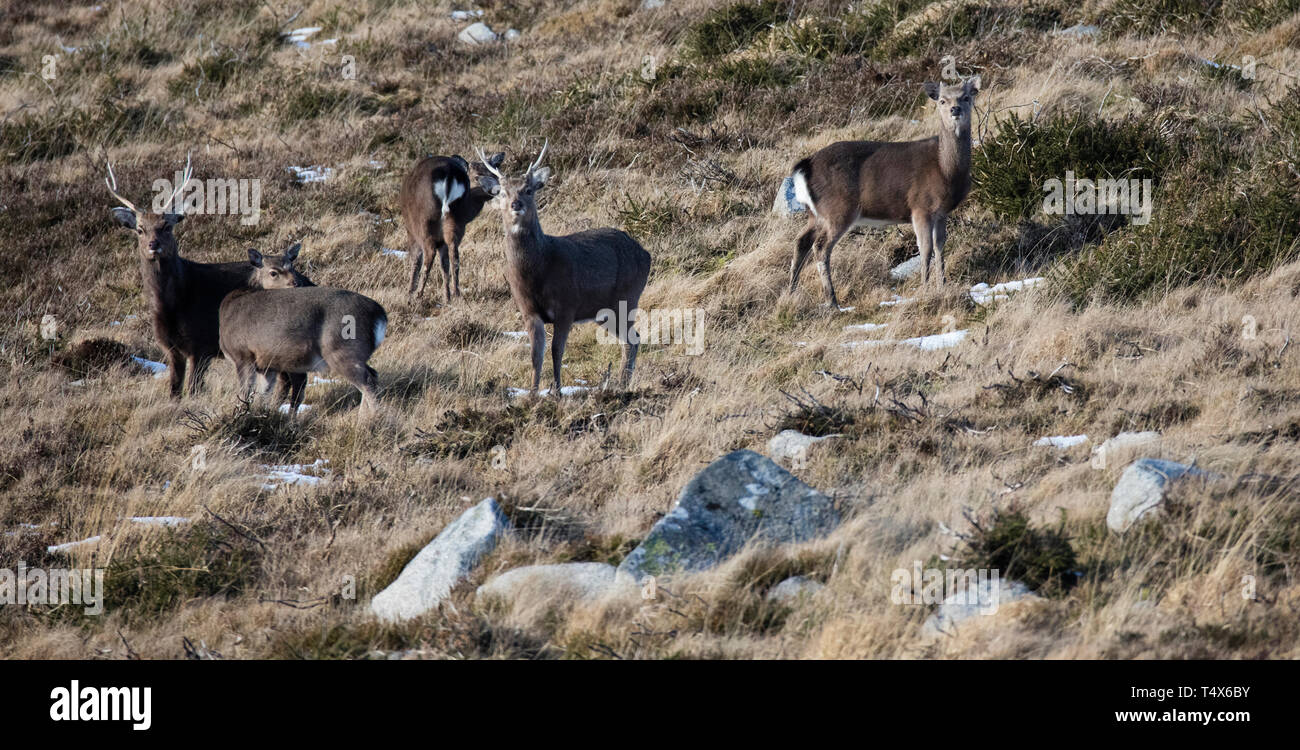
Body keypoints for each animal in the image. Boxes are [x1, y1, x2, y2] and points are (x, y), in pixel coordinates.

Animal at [105, 153, 310, 397]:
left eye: (167, 226)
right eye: (139, 229)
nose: (153, 245)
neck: (173, 303)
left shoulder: (201, 345)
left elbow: (193, 388)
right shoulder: (171, 348)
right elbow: (174, 391)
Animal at [400, 149, 506, 301]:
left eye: (493, 174)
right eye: (477, 177)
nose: (498, 188)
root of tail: (449, 175)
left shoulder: (410, 230)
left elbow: (416, 259)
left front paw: (409, 292)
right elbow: (444, 264)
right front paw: (446, 295)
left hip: (423, 221)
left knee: (428, 254)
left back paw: (418, 295)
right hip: (455, 219)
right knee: (454, 255)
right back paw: (454, 294)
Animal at [473, 142, 650, 395]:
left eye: (528, 190)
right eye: (503, 192)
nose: (516, 204)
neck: (539, 270)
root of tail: (646, 254)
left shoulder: (567, 306)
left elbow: (557, 351)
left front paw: (556, 391)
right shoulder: (528, 310)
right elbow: (535, 355)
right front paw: (533, 393)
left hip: (627, 298)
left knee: (633, 339)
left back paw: (621, 384)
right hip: (604, 312)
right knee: (631, 339)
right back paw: (622, 383)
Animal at [785, 71, 977, 302]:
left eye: (966, 97)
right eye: (942, 100)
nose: (955, 109)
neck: (946, 169)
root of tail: (805, 166)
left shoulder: (941, 212)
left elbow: (940, 247)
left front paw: (943, 285)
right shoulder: (920, 207)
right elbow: (926, 249)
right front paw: (925, 288)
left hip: (815, 213)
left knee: (801, 241)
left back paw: (791, 292)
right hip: (838, 209)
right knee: (821, 247)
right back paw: (831, 300)